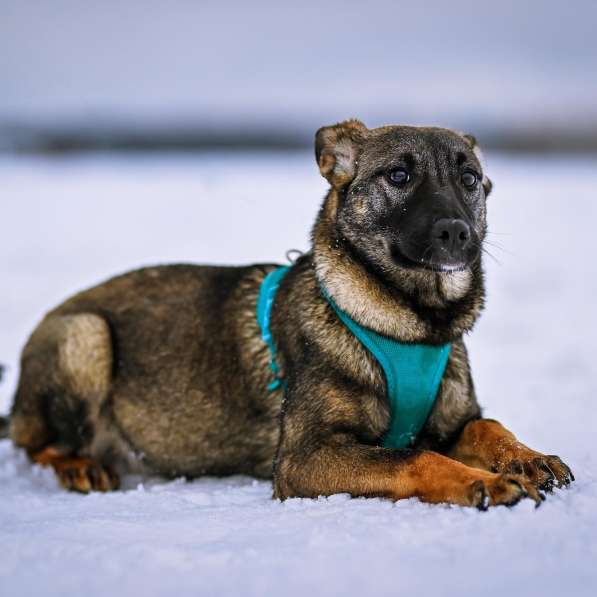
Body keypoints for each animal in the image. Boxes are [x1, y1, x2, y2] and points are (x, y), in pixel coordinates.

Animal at [4, 121, 572, 508]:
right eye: (399, 174)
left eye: (470, 178)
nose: (457, 232)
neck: (409, 325)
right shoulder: (306, 457)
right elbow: (416, 456)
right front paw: (484, 481)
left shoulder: (455, 421)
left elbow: (489, 426)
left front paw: (527, 457)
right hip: (85, 336)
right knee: (36, 444)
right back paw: (80, 466)